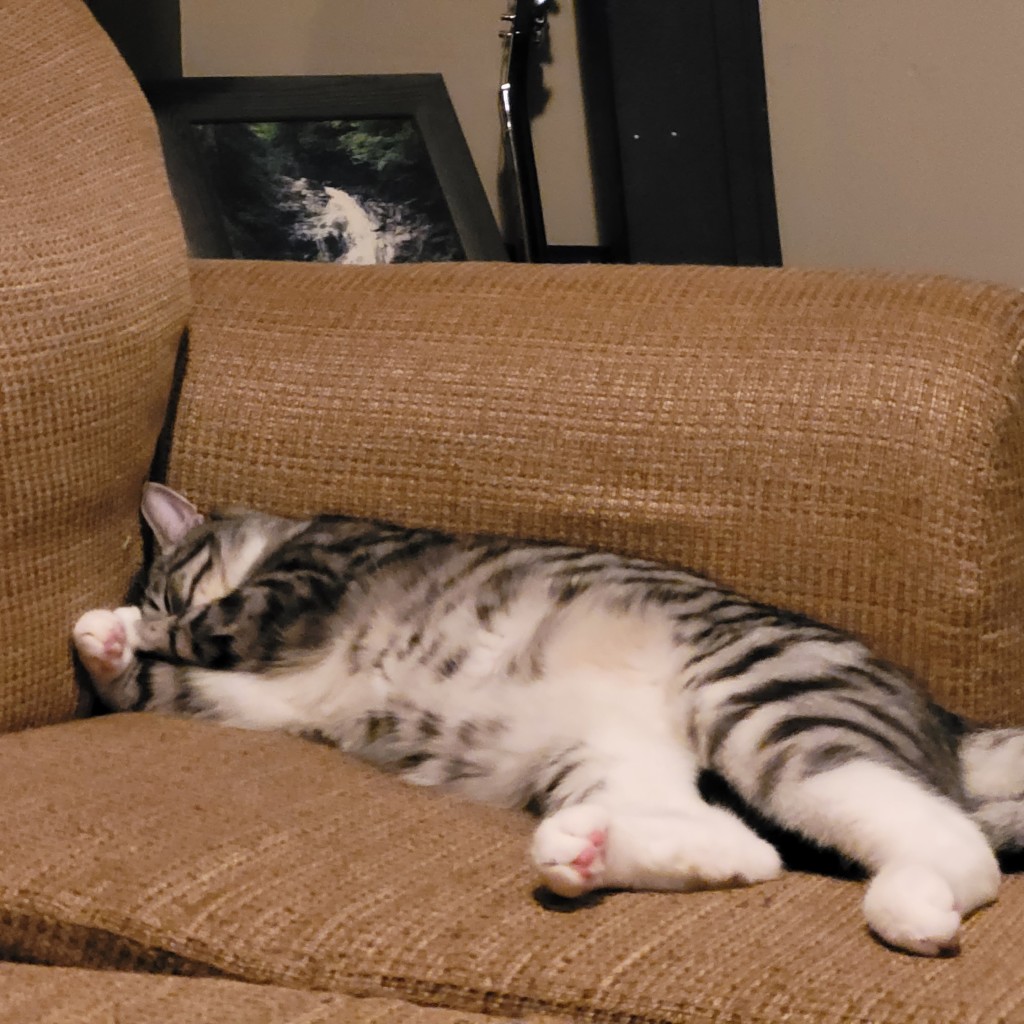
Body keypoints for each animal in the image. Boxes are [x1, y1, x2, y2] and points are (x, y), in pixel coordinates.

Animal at [70, 483, 1024, 954]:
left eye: (174, 582)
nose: (153, 600)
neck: (283, 533)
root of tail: (948, 719)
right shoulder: (259, 702)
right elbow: (164, 687)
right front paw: (108, 646)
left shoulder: (302, 584)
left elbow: (201, 631)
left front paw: (113, 624)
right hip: (600, 757)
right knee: (745, 847)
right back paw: (583, 852)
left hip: (765, 704)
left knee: (958, 847)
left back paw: (912, 907)